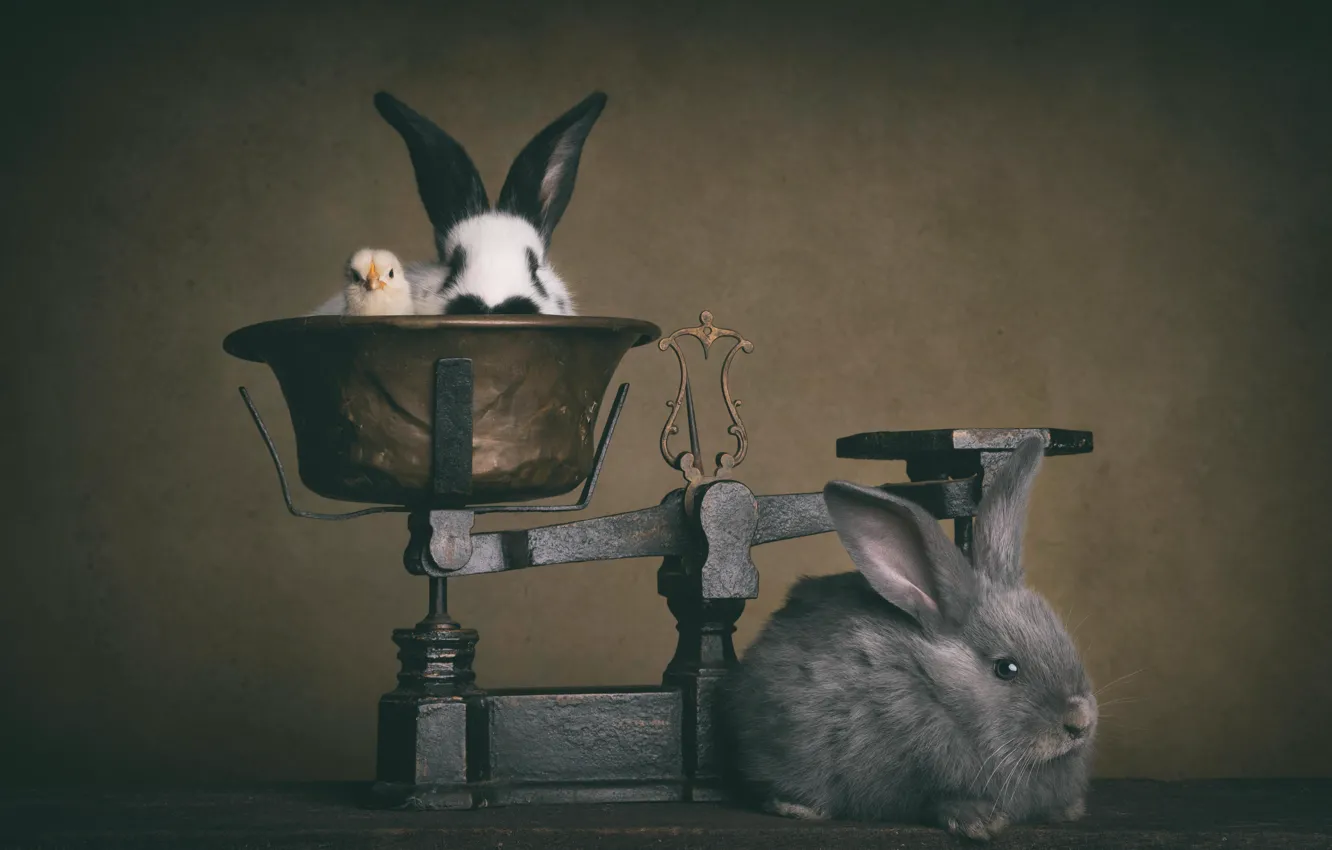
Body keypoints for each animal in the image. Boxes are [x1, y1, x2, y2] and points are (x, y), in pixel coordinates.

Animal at [717, 436, 1096, 841]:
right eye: (1006, 669)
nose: (1079, 722)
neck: (939, 692)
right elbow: (935, 798)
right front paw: (979, 821)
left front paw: (1068, 810)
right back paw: (799, 807)